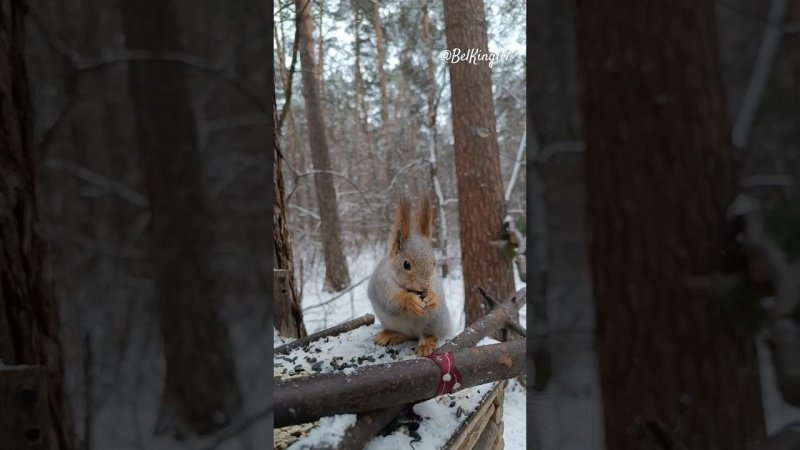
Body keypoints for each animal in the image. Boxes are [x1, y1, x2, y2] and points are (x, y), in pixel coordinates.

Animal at [368, 195, 450, 356]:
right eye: (406, 264)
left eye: (434, 262)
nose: (425, 287)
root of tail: (414, 334)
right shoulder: (382, 285)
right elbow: (391, 302)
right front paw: (410, 301)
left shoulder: (436, 284)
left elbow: (437, 294)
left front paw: (432, 297)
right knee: (404, 334)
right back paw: (391, 335)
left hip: (436, 320)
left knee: (429, 334)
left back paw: (426, 343)